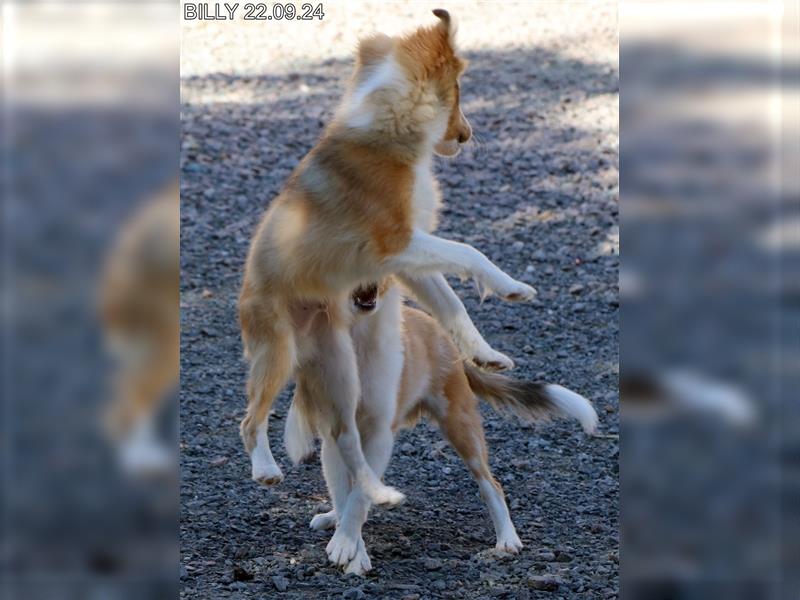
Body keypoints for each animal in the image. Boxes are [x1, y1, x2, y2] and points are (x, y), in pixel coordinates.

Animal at [239, 9, 536, 506]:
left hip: (341, 368)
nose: (467, 136)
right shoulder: (396, 242)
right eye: (458, 90)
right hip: (276, 347)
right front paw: (510, 286)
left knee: (347, 437)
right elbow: (468, 251)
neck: (391, 132)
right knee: (251, 416)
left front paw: (485, 353)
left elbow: (451, 305)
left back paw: (376, 493)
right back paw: (265, 469)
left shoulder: (403, 260)